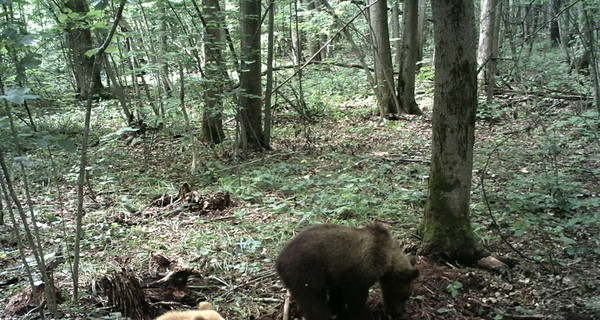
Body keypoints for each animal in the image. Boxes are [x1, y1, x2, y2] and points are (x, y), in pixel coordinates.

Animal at [276, 224, 418, 320]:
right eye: (404, 296)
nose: (398, 313)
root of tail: (279, 262)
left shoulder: (338, 274)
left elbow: (337, 294)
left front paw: (339, 311)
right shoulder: (361, 271)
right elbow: (355, 297)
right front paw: (359, 314)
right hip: (306, 273)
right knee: (313, 302)